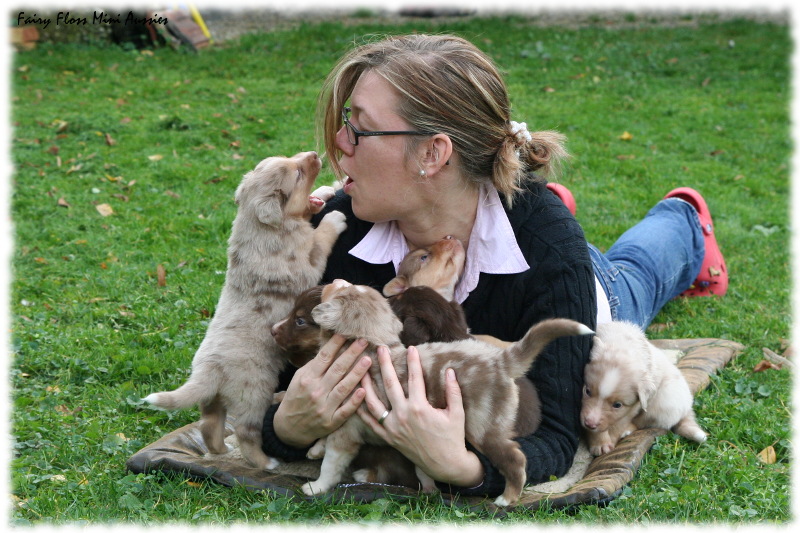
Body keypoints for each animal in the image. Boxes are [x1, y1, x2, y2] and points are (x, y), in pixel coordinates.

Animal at [143, 152, 346, 468]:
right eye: (298, 174)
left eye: (293, 159)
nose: (313, 155)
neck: (262, 224)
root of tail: (208, 369)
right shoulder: (307, 260)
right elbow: (321, 237)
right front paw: (335, 218)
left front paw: (327, 190)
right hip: (254, 392)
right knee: (245, 431)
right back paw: (265, 462)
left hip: (213, 397)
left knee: (209, 424)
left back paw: (220, 451)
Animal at [296, 278, 592, 508]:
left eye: (342, 288)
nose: (334, 280)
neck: (371, 346)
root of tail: (500, 361)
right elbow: (325, 434)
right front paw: (315, 449)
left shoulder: (347, 431)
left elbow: (332, 463)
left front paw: (316, 487)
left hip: (484, 428)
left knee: (516, 459)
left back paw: (507, 499)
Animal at [580, 318, 708, 456]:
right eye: (587, 391)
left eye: (617, 405)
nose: (589, 423)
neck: (621, 345)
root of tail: (688, 407)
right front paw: (599, 442)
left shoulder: (633, 407)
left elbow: (618, 423)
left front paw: (605, 443)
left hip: (663, 402)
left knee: (643, 423)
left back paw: (627, 430)